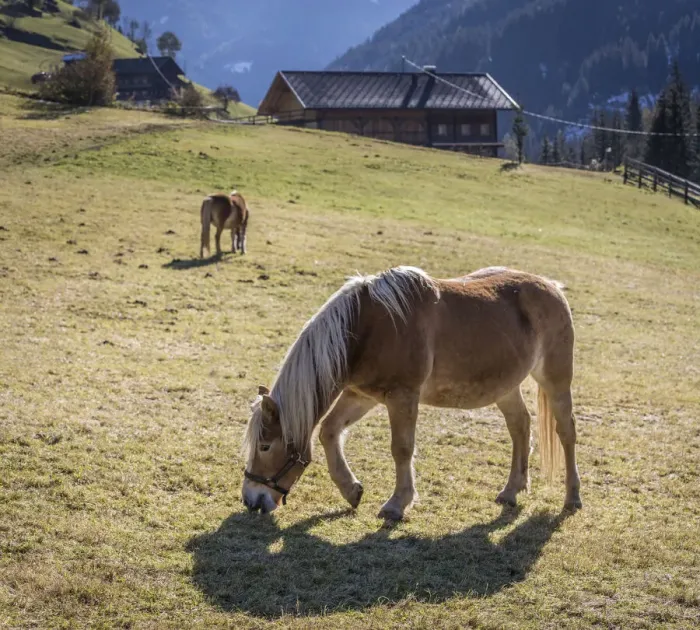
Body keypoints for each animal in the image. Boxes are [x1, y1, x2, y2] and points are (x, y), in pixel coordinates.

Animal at [242, 265, 582, 521]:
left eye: (265, 446)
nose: (251, 499)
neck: (367, 328)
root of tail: (551, 287)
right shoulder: (361, 395)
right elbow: (329, 431)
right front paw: (351, 490)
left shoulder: (402, 397)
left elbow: (402, 449)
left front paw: (396, 504)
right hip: (506, 387)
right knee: (520, 426)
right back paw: (512, 490)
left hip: (556, 379)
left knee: (566, 431)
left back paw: (572, 498)